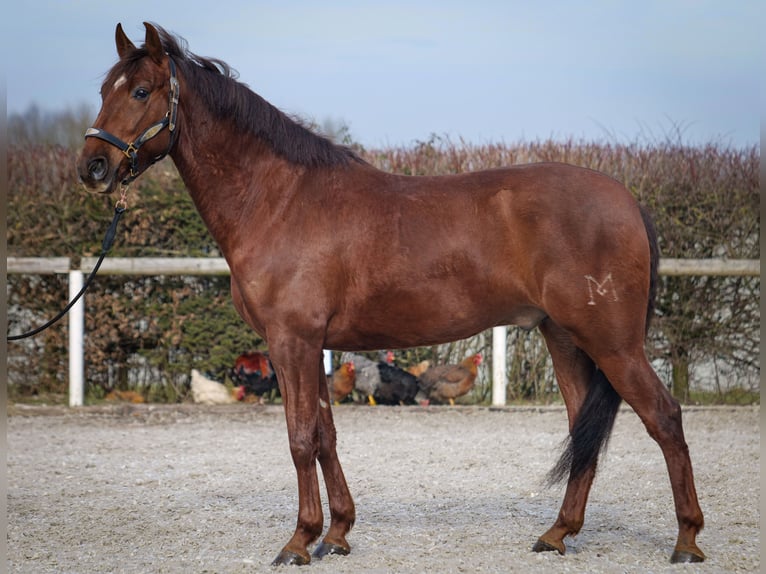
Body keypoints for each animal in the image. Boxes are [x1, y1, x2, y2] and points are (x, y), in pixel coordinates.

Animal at [78, 21, 708, 568]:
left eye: (141, 91)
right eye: (103, 88)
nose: (93, 166)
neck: (280, 200)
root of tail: (627, 201)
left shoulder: (291, 342)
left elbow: (300, 438)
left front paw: (298, 541)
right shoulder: (313, 347)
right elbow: (327, 436)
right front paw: (336, 534)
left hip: (612, 342)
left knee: (664, 417)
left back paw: (686, 540)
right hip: (566, 338)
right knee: (584, 430)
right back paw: (557, 533)